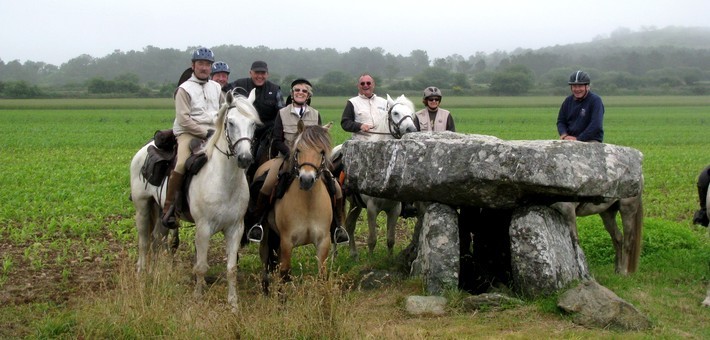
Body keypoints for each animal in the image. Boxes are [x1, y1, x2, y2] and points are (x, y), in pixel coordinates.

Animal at [129, 89, 260, 310]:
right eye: (231, 123)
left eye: (253, 124)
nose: (245, 159)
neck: (223, 182)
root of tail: (145, 149)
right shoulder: (203, 228)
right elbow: (201, 266)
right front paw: (198, 297)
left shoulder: (235, 228)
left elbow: (231, 269)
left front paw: (233, 303)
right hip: (142, 207)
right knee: (144, 241)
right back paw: (142, 273)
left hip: (161, 212)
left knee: (156, 238)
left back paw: (157, 273)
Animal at [336, 93, 420, 258]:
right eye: (395, 113)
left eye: (412, 113)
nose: (411, 129)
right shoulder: (371, 208)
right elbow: (372, 240)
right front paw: (370, 259)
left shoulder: (394, 209)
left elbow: (390, 239)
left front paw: (389, 259)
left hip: (355, 204)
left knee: (350, 224)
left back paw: (354, 254)